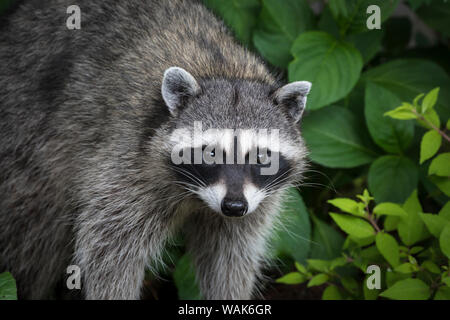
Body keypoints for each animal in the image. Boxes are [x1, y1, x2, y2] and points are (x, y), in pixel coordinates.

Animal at [0, 0, 310, 300]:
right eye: (210, 153)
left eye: (261, 156)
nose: (234, 206)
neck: (225, 70)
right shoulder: (126, 164)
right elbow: (110, 250)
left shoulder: (257, 200)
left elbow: (230, 257)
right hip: (28, 143)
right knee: (32, 241)